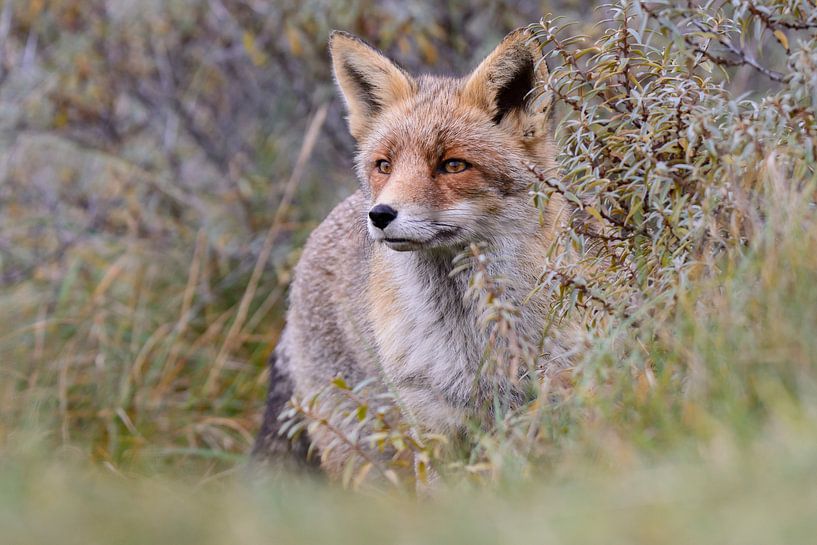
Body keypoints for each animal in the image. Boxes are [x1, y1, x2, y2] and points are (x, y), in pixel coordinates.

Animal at [252, 27, 572, 474]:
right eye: (384, 166)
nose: (380, 214)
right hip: (362, 445)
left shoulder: (549, 392)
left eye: (453, 165)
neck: (467, 337)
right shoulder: (431, 420)